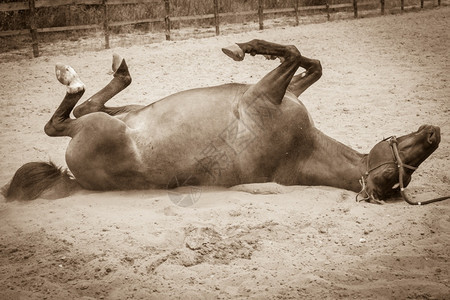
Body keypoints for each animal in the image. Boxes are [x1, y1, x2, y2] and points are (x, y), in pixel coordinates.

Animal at [0, 39, 442, 204]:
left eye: (395, 178)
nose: (434, 134)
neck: (300, 150)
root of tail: (76, 180)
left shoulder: (264, 93)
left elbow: (294, 53)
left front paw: (244, 47)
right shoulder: (281, 92)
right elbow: (309, 61)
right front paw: (247, 48)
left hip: (99, 128)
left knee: (65, 120)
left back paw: (74, 77)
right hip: (121, 114)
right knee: (87, 106)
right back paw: (114, 69)